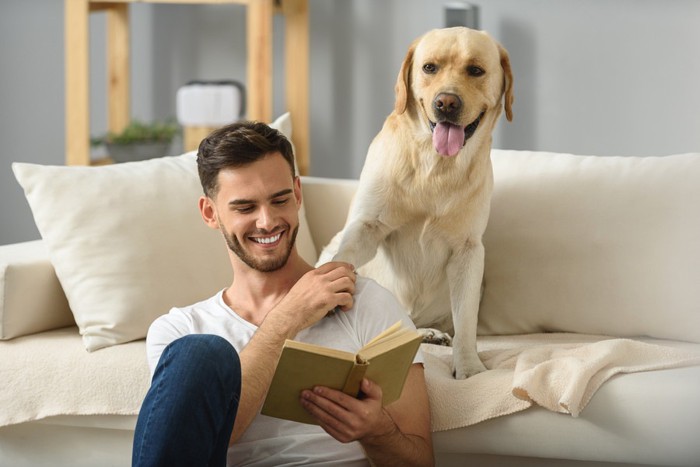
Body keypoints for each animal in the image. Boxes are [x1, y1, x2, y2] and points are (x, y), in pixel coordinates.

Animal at [320, 27, 512, 380]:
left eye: (475, 70)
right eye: (429, 68)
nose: (446, 102)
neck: (434, 166)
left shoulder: (468, 251)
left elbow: (466, 321)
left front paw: (469, 367)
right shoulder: (365, 228)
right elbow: (344, 262)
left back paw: (429, 334)